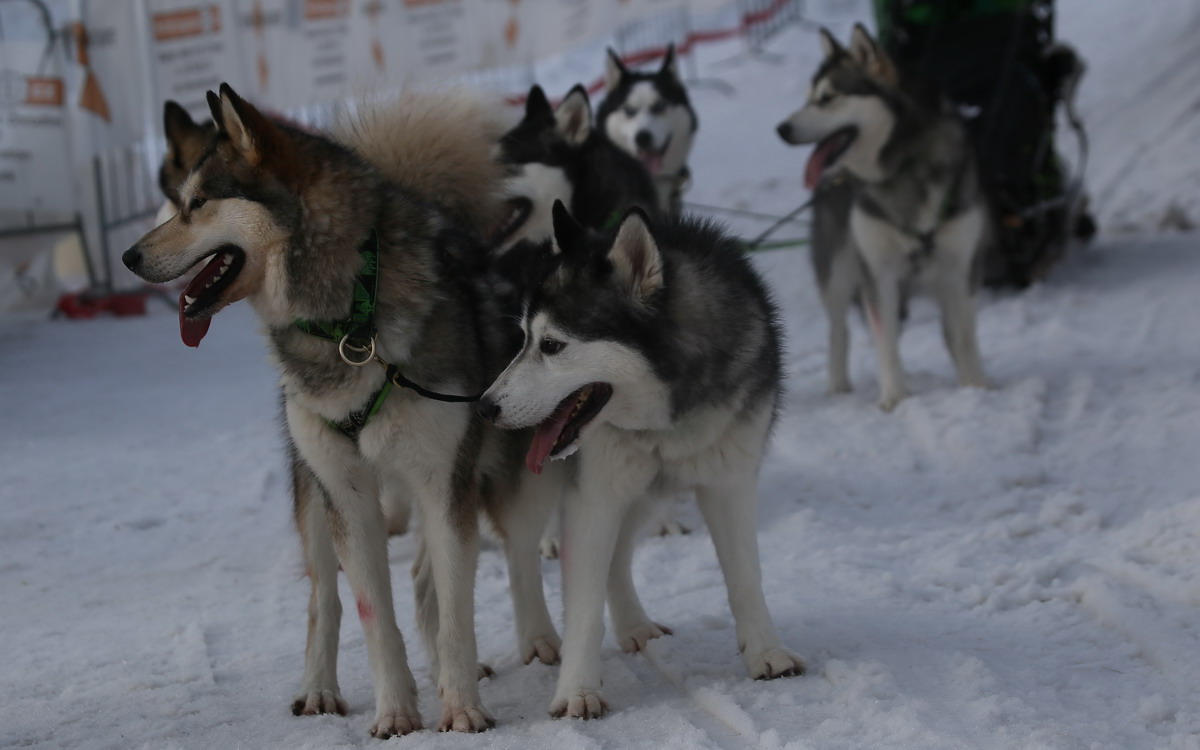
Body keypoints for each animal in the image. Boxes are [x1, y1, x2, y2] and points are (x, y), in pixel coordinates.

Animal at [124, 84, 564, 734]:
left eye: (197, 203)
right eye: (178, 200)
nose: (128, 257)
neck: (352, 319)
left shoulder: (443, 480)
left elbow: (457, 609)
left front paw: (460, 706)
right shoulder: (348, 494)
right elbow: (370, 612)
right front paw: (396, 712)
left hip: (512, 471)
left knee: (507, 555)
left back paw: (530, 642)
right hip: (314, 496)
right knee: (325, 598)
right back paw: (320, 688)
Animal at [477, 201, 806, 715]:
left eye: (552, 345)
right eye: (524, 340)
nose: (486, 406)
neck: (668, 421)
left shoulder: (730, 481)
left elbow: (745, 577)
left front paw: (766, 653)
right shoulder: (592, 495)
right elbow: (584, 605)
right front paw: (578, 691)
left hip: (644, 492)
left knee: (617, 554)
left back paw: (634, 626)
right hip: (539, 487)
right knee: (521, 554)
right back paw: (538, 637)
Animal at [772, 24, 988, 410]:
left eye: (827, 98)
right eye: (808, 97)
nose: (781, 129)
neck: (902, 164)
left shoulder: (962, 266)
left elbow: (963, 335)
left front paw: (975, 388)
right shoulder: (878, 271)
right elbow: (884, 340)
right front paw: (895, 397)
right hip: (838, 270)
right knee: (839, 330)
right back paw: (839, 385)